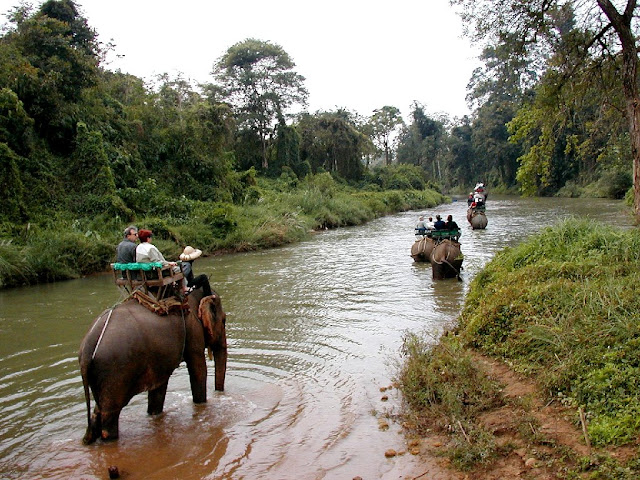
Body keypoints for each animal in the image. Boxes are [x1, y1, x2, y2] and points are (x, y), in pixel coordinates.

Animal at [78, 286, 228, 444]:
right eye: (224, 320)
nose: (219, 394)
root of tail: (87, 349)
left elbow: (159, 387)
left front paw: (154, 414)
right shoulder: (193, 330)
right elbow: (198, 371)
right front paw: (201, 404)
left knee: (97, 411)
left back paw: (89, 439)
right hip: (115, 371)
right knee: (110, 414)